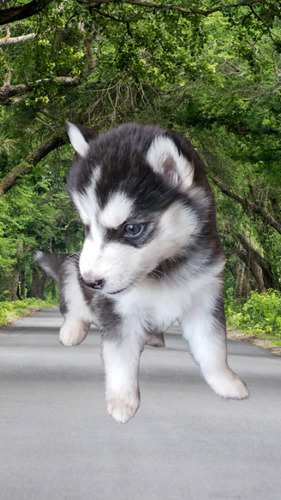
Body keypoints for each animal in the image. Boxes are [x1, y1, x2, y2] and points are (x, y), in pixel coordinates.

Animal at [36, 121, 248, 422]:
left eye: (132, 228)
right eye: (87, 227)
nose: (90, 281)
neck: (163, 270)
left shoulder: (205, 296)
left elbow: (214, 346)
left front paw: (226, 382)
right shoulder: (115, 310)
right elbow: (120, 358)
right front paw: (122, 402)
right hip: (71, 269)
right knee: (73, 306)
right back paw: (72, 330)